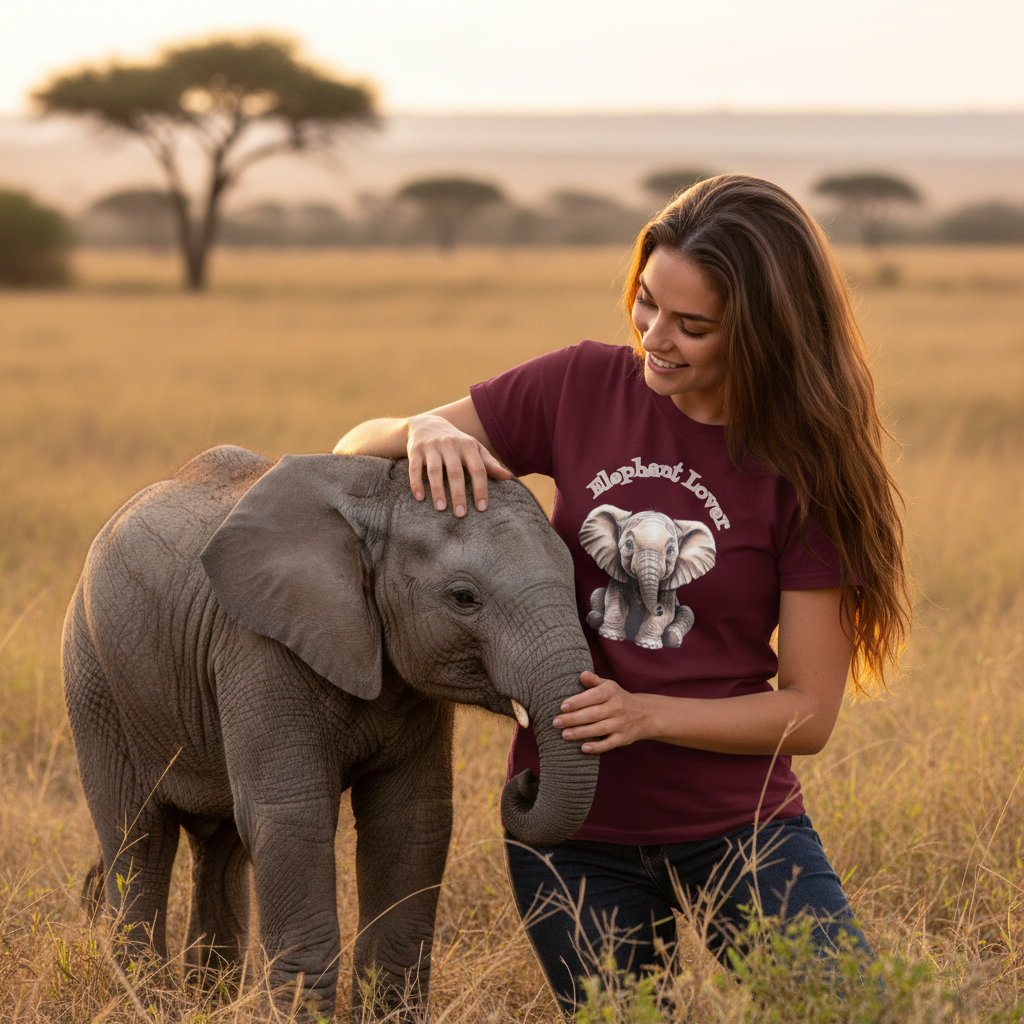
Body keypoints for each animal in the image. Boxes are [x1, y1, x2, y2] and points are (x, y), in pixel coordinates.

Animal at [61, 445, 598, 1021]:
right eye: (463, 598)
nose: (525, 781)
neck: (378, 501)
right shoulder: (259, 650)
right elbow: (293, 821)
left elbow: (410, 820)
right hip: (96, 685)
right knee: (138, 838)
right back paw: (154, 1006)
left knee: (220, 850)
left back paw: (210, 1000)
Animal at [579, 505, 716, 650]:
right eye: (629, 544)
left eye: (671, 550)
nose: (658, 608)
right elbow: (615, 600)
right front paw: (611, 637)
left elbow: (667, 611)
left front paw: (647, 645)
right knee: (597, 592)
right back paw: (595, 619)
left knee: (687, 611)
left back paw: (673, 638)